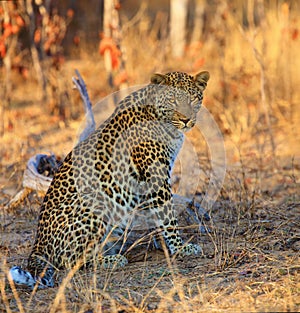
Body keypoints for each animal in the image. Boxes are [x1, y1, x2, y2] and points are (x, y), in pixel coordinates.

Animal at [9, 70, 211, 288]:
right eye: (173, 100)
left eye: (192, 99)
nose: (186, 119)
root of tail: (38, 243)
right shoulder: (156, 176)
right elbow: (168, 218)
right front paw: (180, 248)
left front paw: (162, 244)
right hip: (96, 204)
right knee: (72, 261)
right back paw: (112, 260)